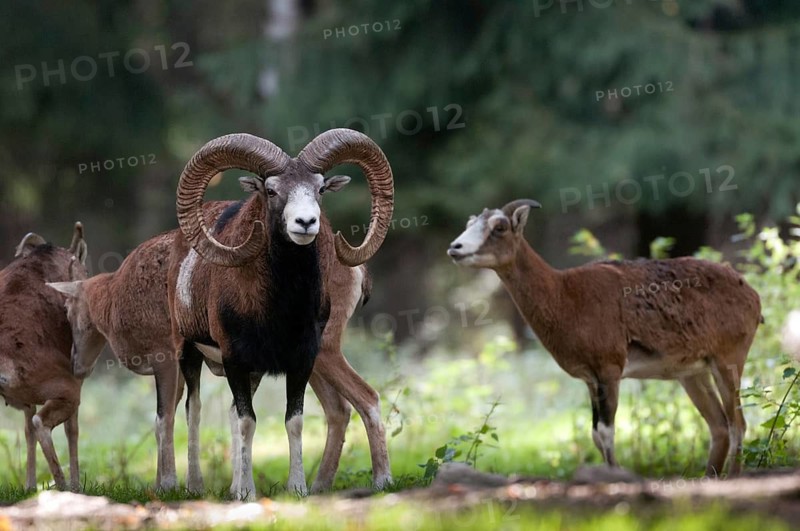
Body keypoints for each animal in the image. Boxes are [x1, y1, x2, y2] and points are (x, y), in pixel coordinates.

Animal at [0, 222, 88, 490]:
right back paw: (64, 485)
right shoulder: (76, 380)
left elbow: (26, 430)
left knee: (33, 425)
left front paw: (28, 486)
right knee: (42, 423)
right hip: (67, 390)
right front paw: (77, 483)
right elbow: (72, 429)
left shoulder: (27, 399)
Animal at [167, 129, 394, 499]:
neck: (279, 307)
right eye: (271, 190)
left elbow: (293, 420)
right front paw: (245, 494)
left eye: (319, 188)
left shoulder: (300, 360)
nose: (305, 222)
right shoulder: (235, 360)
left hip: (317, 358)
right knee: (194, 411)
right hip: (188, 352)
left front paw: (297, 489)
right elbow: (246, 421)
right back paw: (196, 487)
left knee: (351, 405)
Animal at [448, 199, 762, 477]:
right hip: (693, 374)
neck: (565, 297)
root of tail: (752, 296)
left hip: (728, 361)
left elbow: (606, 433)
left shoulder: (609, 370)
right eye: (469, 224)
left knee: (738, 425)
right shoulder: (591, 379)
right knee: (719, 427)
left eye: (499, 227)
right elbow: (595, 435)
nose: (455, 248)